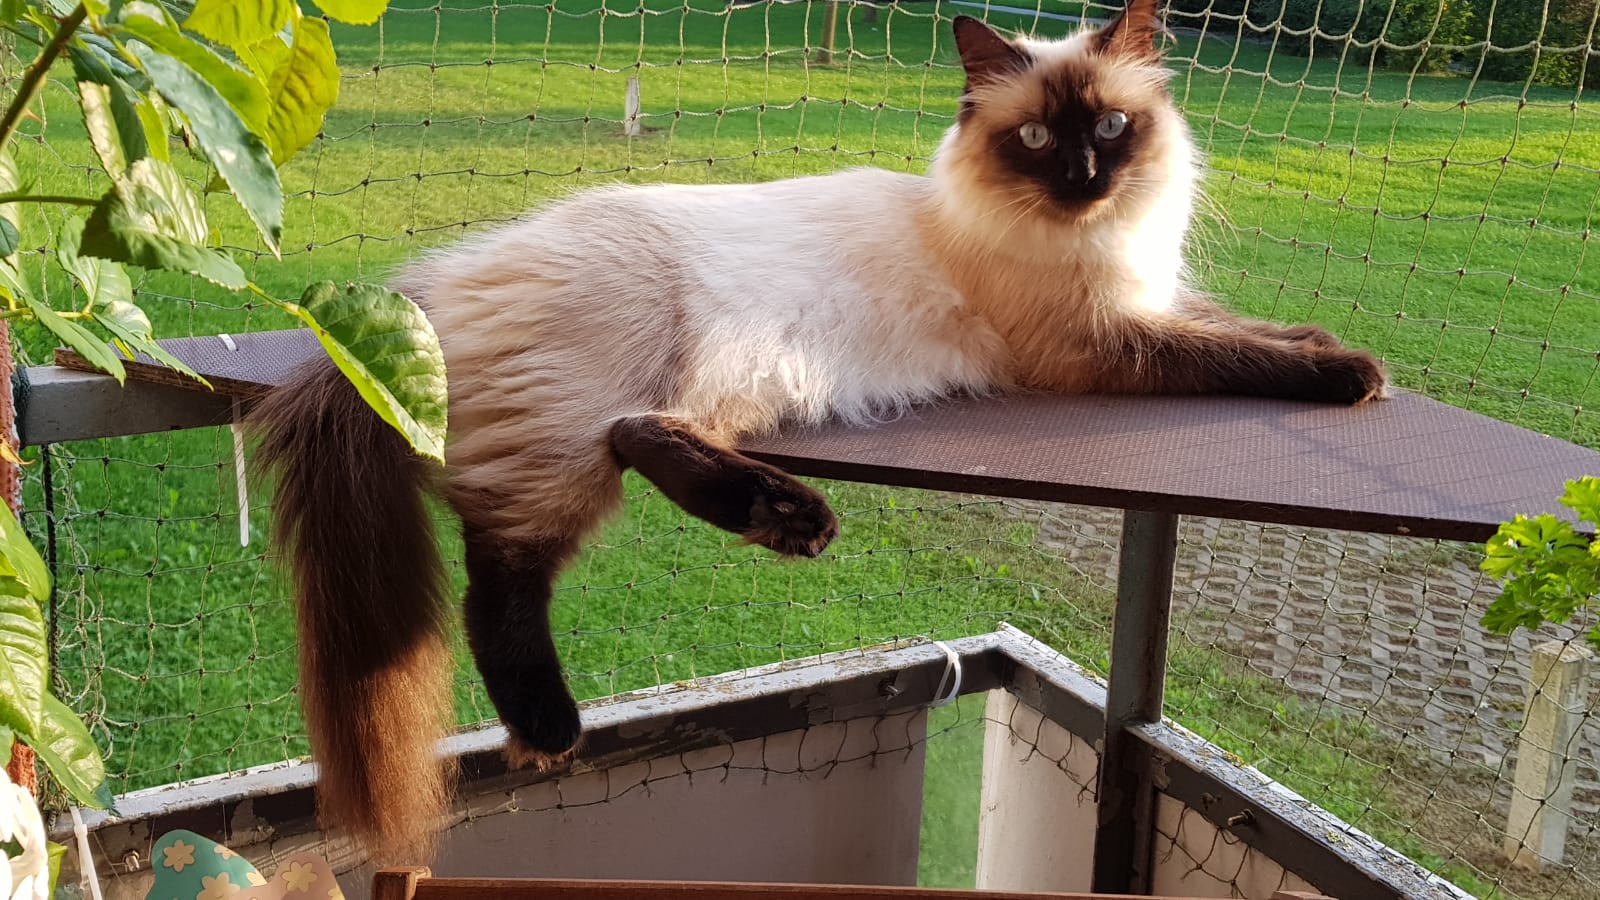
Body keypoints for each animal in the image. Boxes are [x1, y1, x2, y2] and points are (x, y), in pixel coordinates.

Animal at [251, 0, 1386, 862]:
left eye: (1110, 129)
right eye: (1033, 140)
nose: (1083, 181)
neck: (1087, 241)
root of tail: (428, 285)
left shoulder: (1143, 304)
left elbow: (1236, 327)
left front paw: (1332, 345)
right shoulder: (1099, 346)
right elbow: (1230, 355)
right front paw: (1352, 374)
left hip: (713, 392)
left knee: (641, 440)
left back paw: (787, 520)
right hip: (592, 417)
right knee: (510, 571)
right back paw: (555, 727)